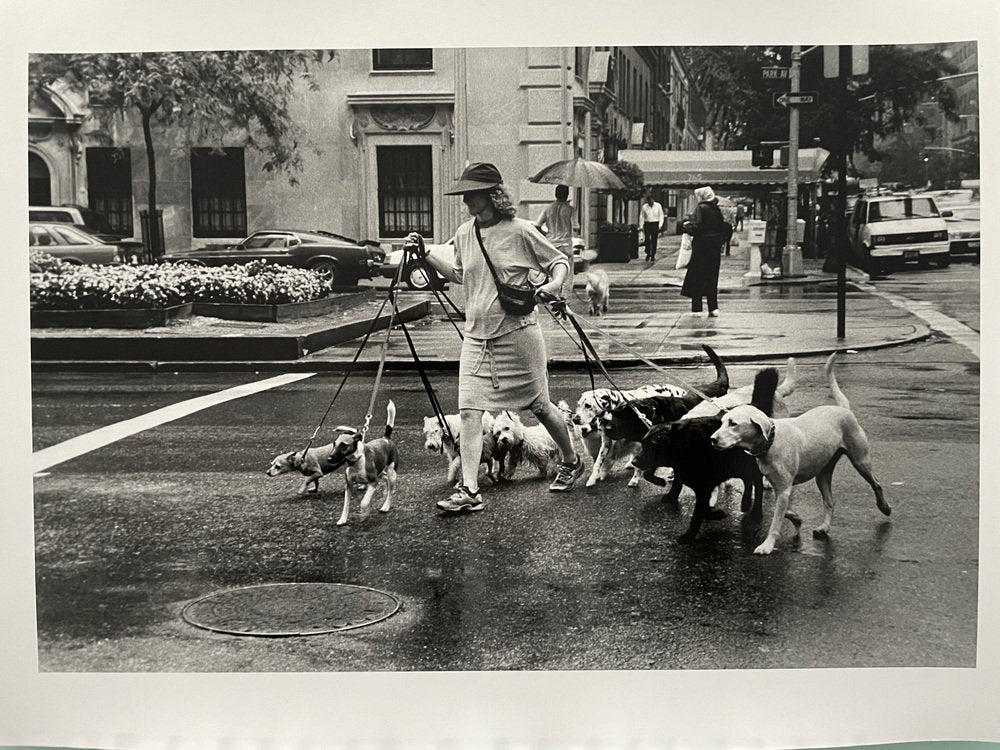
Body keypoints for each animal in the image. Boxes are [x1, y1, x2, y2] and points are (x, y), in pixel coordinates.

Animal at [270, 400, 402, 528]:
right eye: (334, 444)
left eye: (343, 445)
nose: (329, 459)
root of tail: (386, 438)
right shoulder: (348, 485)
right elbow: (345, 505)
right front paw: (342, 519)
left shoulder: (373, 482)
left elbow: (364, 502)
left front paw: (364, 514)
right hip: (381, 472)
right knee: (385, 479)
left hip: (392, 473)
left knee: (390, 490)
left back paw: (385, 505)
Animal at [712, 356, 892, 556]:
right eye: (722, 422)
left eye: (733, 423)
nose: (712, 439)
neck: (771, 441)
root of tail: (843, 409)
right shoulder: (779, 487)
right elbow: (784, 511)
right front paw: (797, 519)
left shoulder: (784, 489)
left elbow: (776, 520)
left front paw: (767, 545)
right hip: (823, 474)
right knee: (830, 502)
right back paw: (824, 527)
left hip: (861, 461)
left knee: (877, 484)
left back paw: (884, 507)